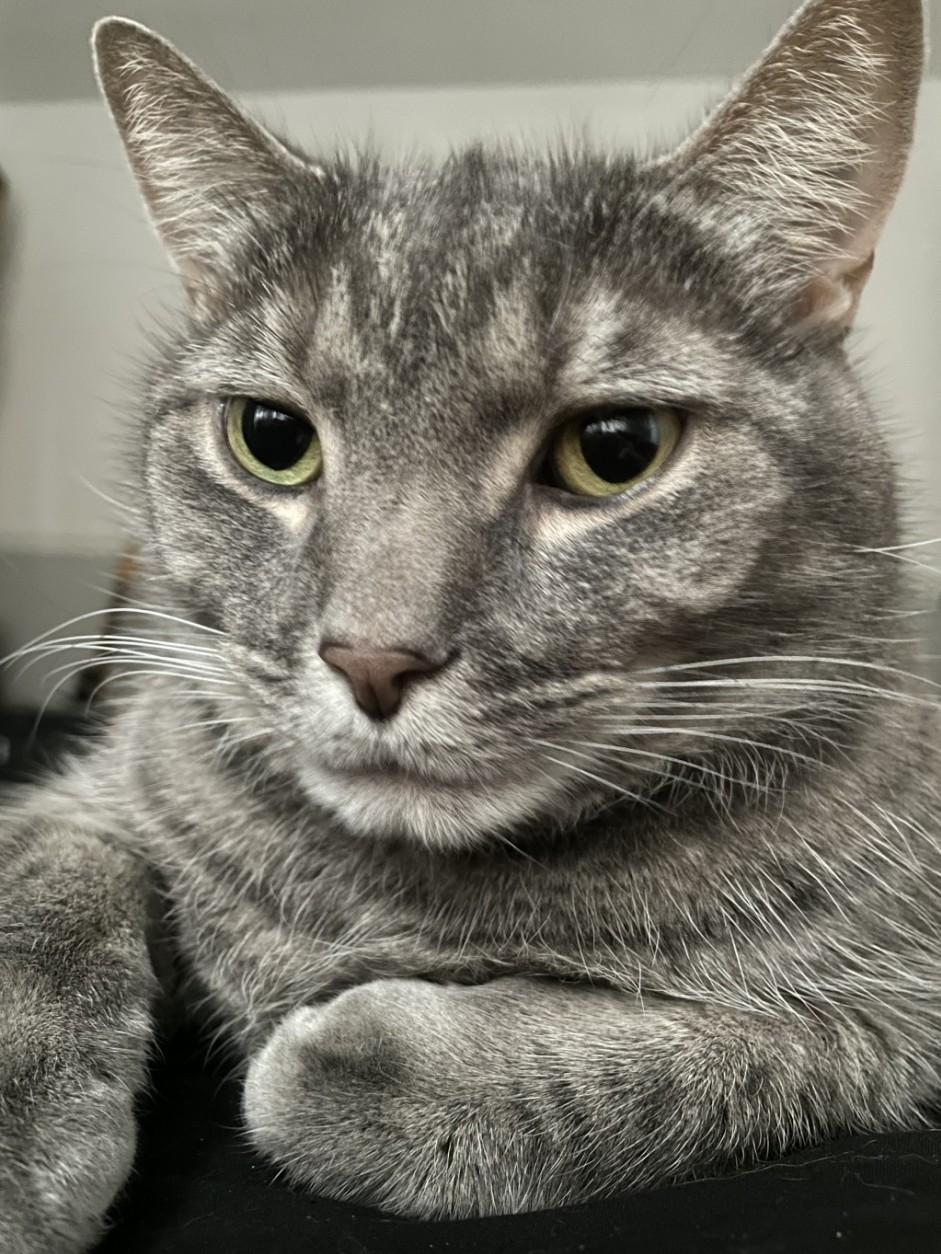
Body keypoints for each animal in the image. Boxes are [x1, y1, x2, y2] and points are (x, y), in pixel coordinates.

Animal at [1, 0, 941, 1248]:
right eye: (270, 437)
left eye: (613, 450)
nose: (371, 656)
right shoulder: (96, 787)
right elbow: (45, 882)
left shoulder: (890, 1015)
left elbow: (676, 1061)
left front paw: (358, 1056)